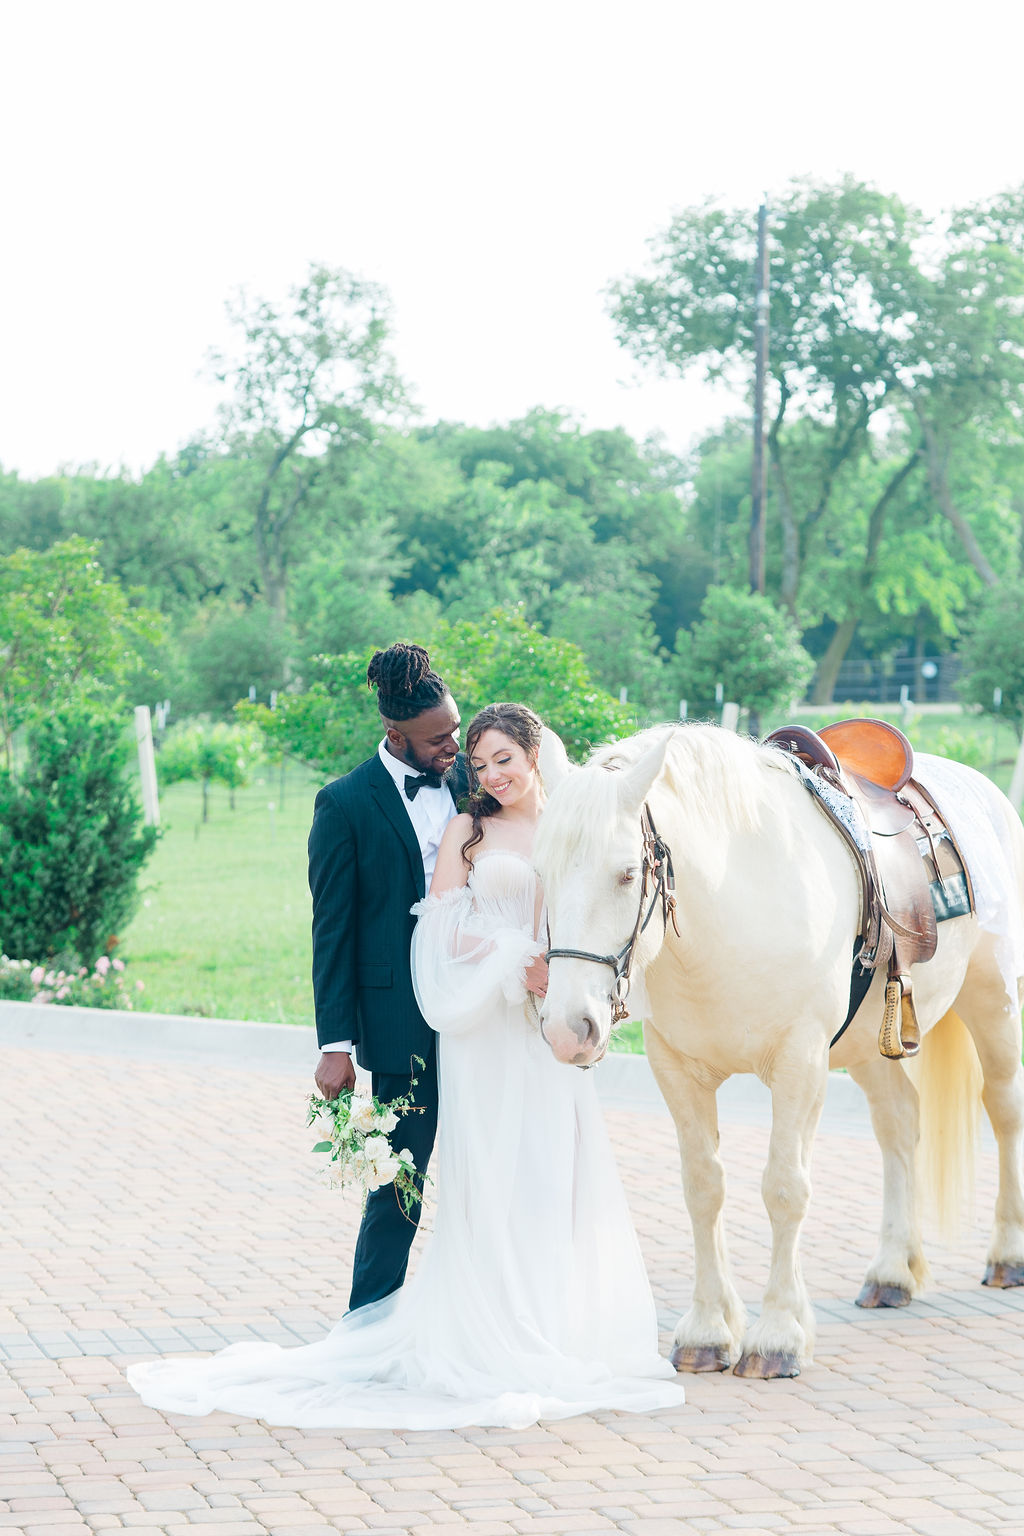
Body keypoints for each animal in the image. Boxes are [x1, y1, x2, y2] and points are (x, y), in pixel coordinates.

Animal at [537, 718, 1024, 1382]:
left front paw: (777, 1338)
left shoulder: (800, 1063)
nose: (568, 1028)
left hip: (993, 1001)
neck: (733, 913)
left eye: (627, 874)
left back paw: (1007, 1255)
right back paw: (892, 1272)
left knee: (1003, 1109)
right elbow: (703, 1187)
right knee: (900, 1124)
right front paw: (708, 1330)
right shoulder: (676, 1069)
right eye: (541, 873)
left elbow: (785, 1189)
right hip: (870, 1047)